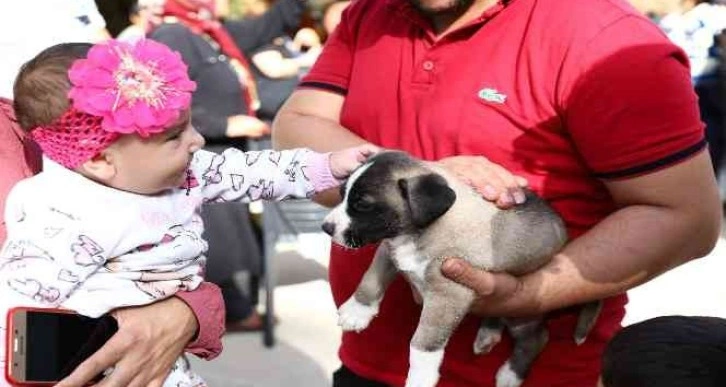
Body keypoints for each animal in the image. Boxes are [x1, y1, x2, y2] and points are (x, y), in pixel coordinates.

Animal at [324, 152, 604, 387]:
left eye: (363, 205)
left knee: (537, 338)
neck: (419, 231)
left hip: (522, 311)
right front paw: (357, 311)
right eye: (342, 193)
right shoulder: (389, 249)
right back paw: (488, 334)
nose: (326, 227)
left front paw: (420, 378)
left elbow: (423, 344)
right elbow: (371, 278)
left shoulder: (447, 294)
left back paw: (510, 375)